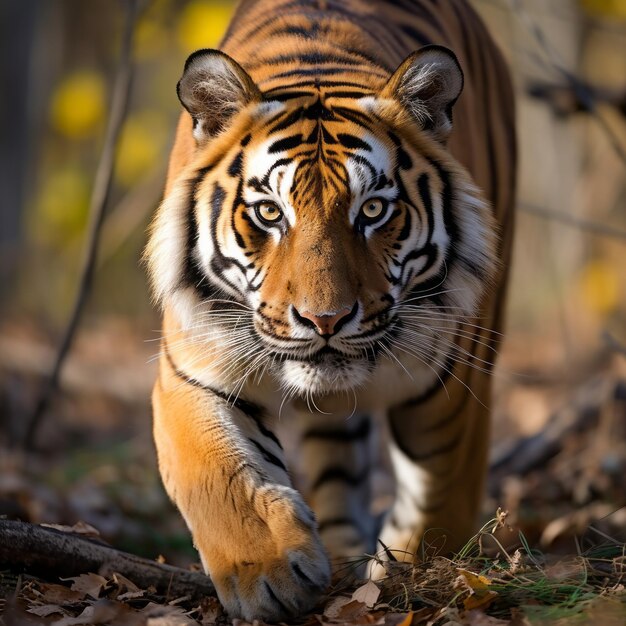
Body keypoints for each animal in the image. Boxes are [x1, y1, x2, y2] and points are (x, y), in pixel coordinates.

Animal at [144, 0, 516, 616]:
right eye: (270, 213)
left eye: (373, 210)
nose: (325, 321)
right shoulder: (192, 368)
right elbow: (218, 474)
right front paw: (268, 576)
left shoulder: (455, 380)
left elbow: (440, 492)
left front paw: (419, 577)